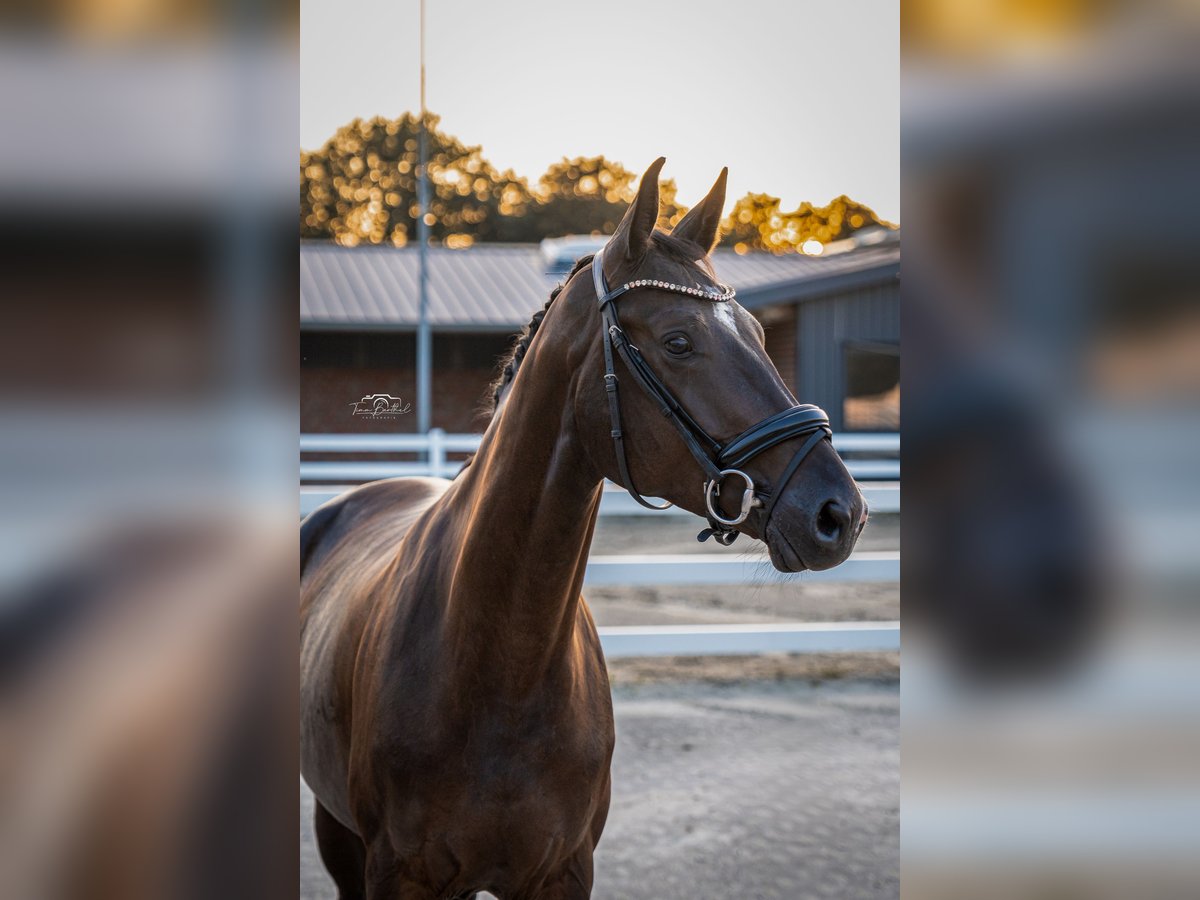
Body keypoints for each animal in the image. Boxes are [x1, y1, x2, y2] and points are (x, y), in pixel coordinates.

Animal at [298, 158, 864, 897]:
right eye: (678, 342)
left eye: (761, 335)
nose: (839, 513)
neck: (505, 668)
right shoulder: (398, 873)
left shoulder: (562, 872)